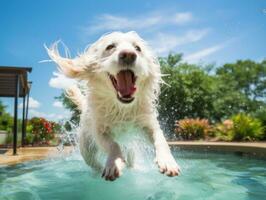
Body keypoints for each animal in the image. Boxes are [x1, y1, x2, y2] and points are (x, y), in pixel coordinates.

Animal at [47, 31, 181, 181]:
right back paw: (99, 170)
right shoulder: (100, 132)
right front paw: (113, 163)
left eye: (137, 48)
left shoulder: (149, 125)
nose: (128, 54)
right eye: (110, 47)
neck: (121, 107)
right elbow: (112, 144)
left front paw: (167, 161)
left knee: (130, 160)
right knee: (94, 164)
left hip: (130, 150)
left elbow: (161, 139)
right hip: (87, 151)